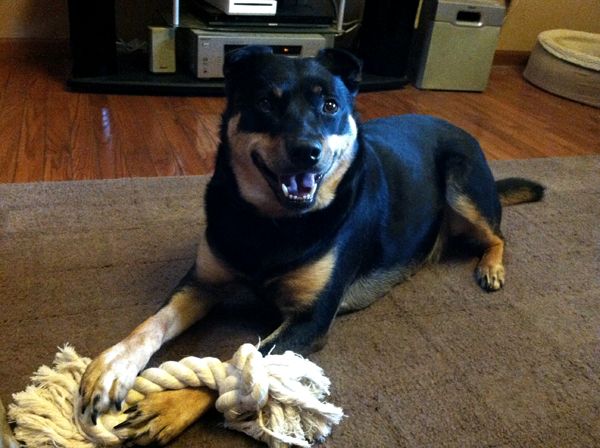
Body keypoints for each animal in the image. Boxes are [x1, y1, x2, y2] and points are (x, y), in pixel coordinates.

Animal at [78, 46, 544, 444]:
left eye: (331, 107)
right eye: (267, 102)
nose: (308, 151)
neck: (272, 223)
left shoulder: (310, 319)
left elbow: (240, 365)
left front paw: (167, 407)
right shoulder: (202, 282)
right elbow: (153, 324)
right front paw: (111, 368)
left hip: (461, 184)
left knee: (498, 234)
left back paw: (491, 267)